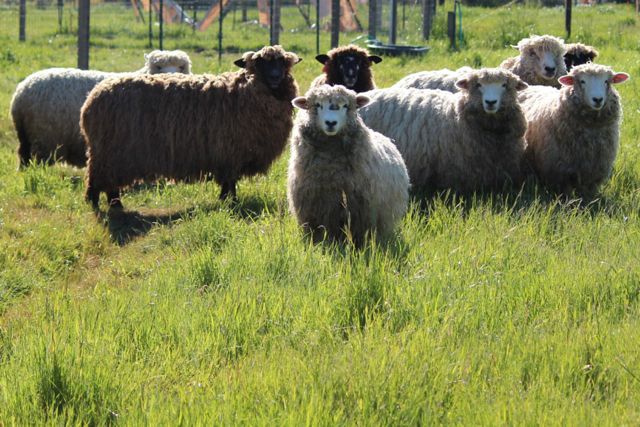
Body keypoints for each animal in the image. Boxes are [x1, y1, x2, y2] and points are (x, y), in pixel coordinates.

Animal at [10, 49, 192, 168]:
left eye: (182, 67)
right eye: (158, 67)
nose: (174, 78)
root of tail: (21, 91)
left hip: (27, 137)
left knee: (24, 157)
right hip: (45, 137)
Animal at [81, 45, 301, 209]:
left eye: (283, 62)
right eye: (261, 62)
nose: (275, 77)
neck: (244, 90)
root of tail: (91, 99)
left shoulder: (227, 154)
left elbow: (229, 182)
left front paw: (225, 200)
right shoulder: (230, 151)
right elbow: (230, 181)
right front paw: (230, 202)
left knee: (108, 181)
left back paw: (114, 205)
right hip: (108, 152)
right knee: (97, 179)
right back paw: (97, 203)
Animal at [519, 63, 629, 198]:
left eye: (606, 81)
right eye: (582, 81)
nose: (598, 99)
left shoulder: (594, 170)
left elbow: (587, 195)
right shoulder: (561, 171)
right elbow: (566, 194)